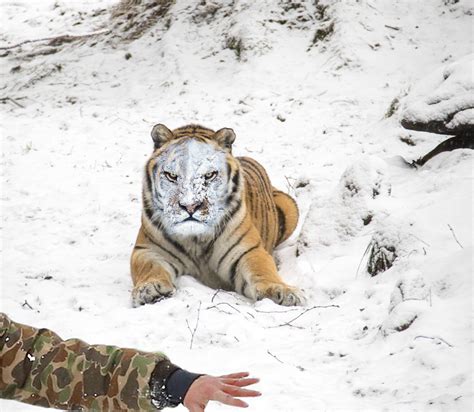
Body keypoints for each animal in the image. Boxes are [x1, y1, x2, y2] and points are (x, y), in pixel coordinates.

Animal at [129, 124, 304, 308]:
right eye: (172, 176)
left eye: (209, 175)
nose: (190, 206)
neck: (195, 239)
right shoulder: (148, 249)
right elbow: (150, 269)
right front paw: (150, 289)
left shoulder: (247, 251)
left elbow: (263, 270)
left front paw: (284, 292)